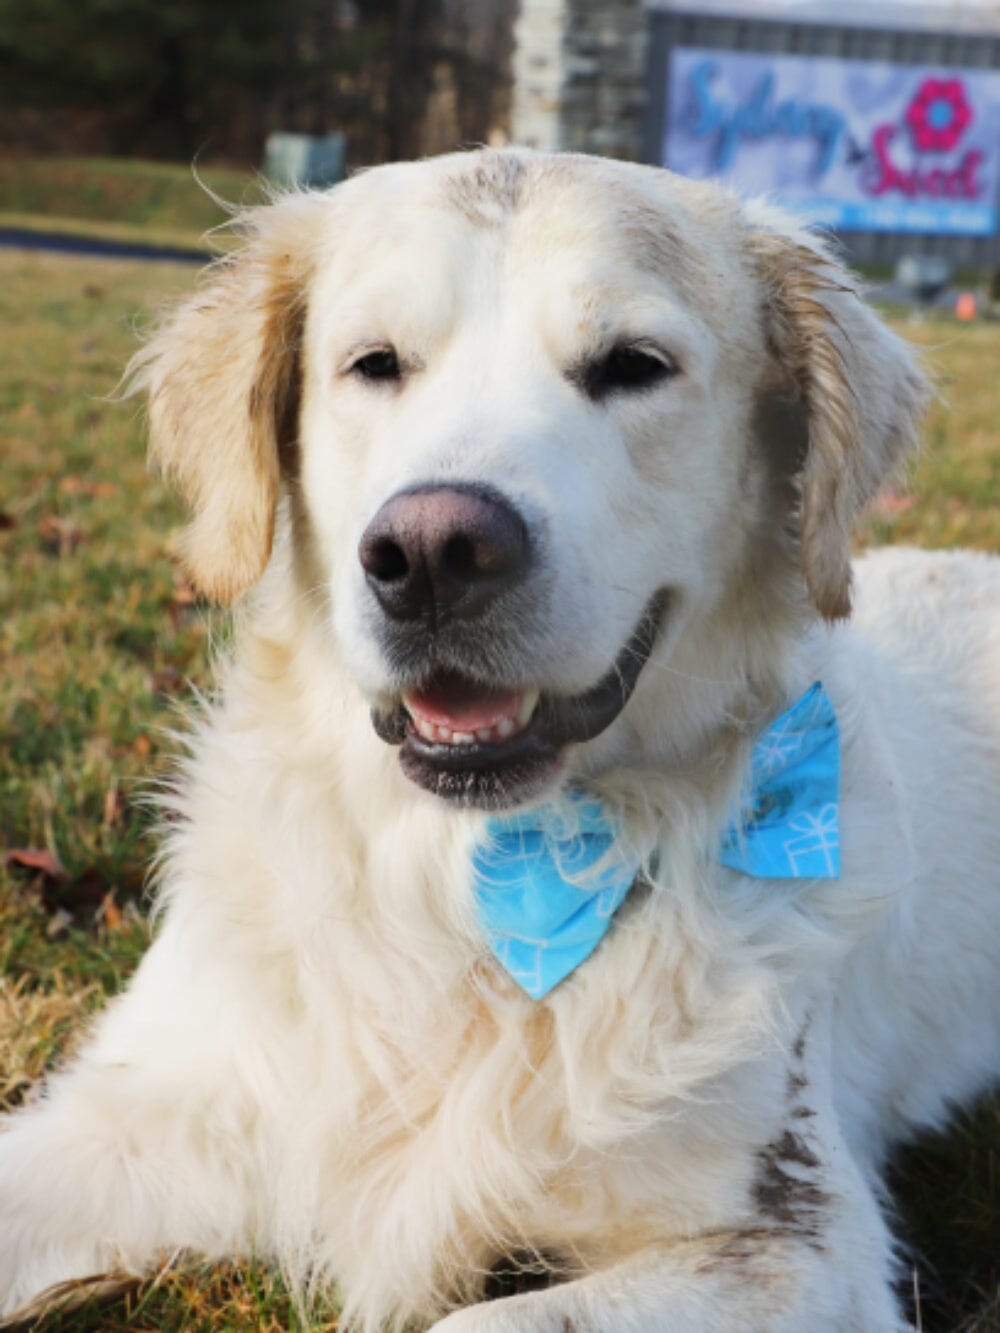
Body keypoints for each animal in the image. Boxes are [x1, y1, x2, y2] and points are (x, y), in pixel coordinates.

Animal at [1, 151, 1000, 1327]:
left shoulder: (797, 1244)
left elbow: (485, 1316)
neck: (481, 880)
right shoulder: (145, 1109)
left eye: (633, 365)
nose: (433, 552)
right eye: (374, 364)